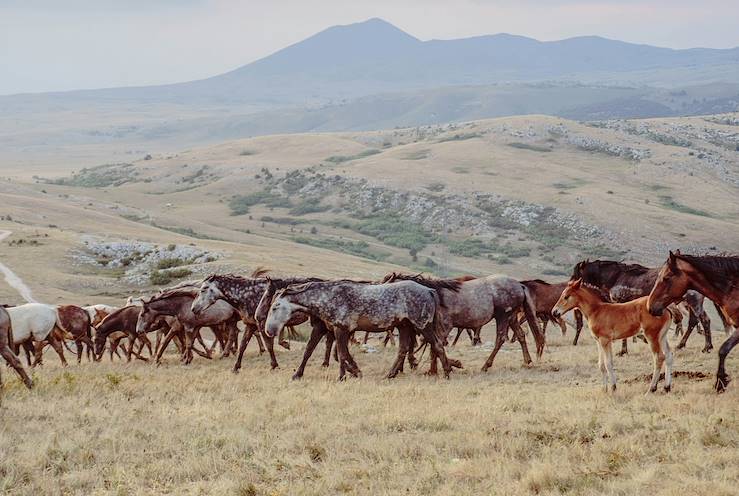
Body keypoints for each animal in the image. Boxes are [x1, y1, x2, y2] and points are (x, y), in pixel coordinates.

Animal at [263, 279, 456, 379]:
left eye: (275, 307)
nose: (268, 331)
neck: (328, 297)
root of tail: (429, 290)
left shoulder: (340, 330)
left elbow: (342, 353)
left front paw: (345, 375)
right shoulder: (332, 330)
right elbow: (314, 351)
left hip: (422, 326)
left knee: (437, 346)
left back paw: (447, 373)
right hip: (404, 326)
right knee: (403, 350)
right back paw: (390, 375)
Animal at [382, 273, 545, 373]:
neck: (433, 295)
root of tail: (519, 285)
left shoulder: (444, 327)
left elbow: (435, 346)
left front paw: (440, 369)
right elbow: (433, 346)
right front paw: (438, 368)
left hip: (503, 317)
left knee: (500, 338)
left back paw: (485, 366)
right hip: (511, 318)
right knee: (521, 335)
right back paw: (527, 361)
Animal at [571, 260, 713, 354]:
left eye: (576, 273)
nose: (570, 284)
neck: (616, 277)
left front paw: (623, 351)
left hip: (693, 302)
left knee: (703, 320)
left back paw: (706, 347)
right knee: (695, 321)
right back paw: (685, 345)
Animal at [647, 251, 739, 393]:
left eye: (666, 277)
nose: (650, 306)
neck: (733, 288)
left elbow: (723, 349)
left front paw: (720, 381)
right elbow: (723, 350)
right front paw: (720, 382)